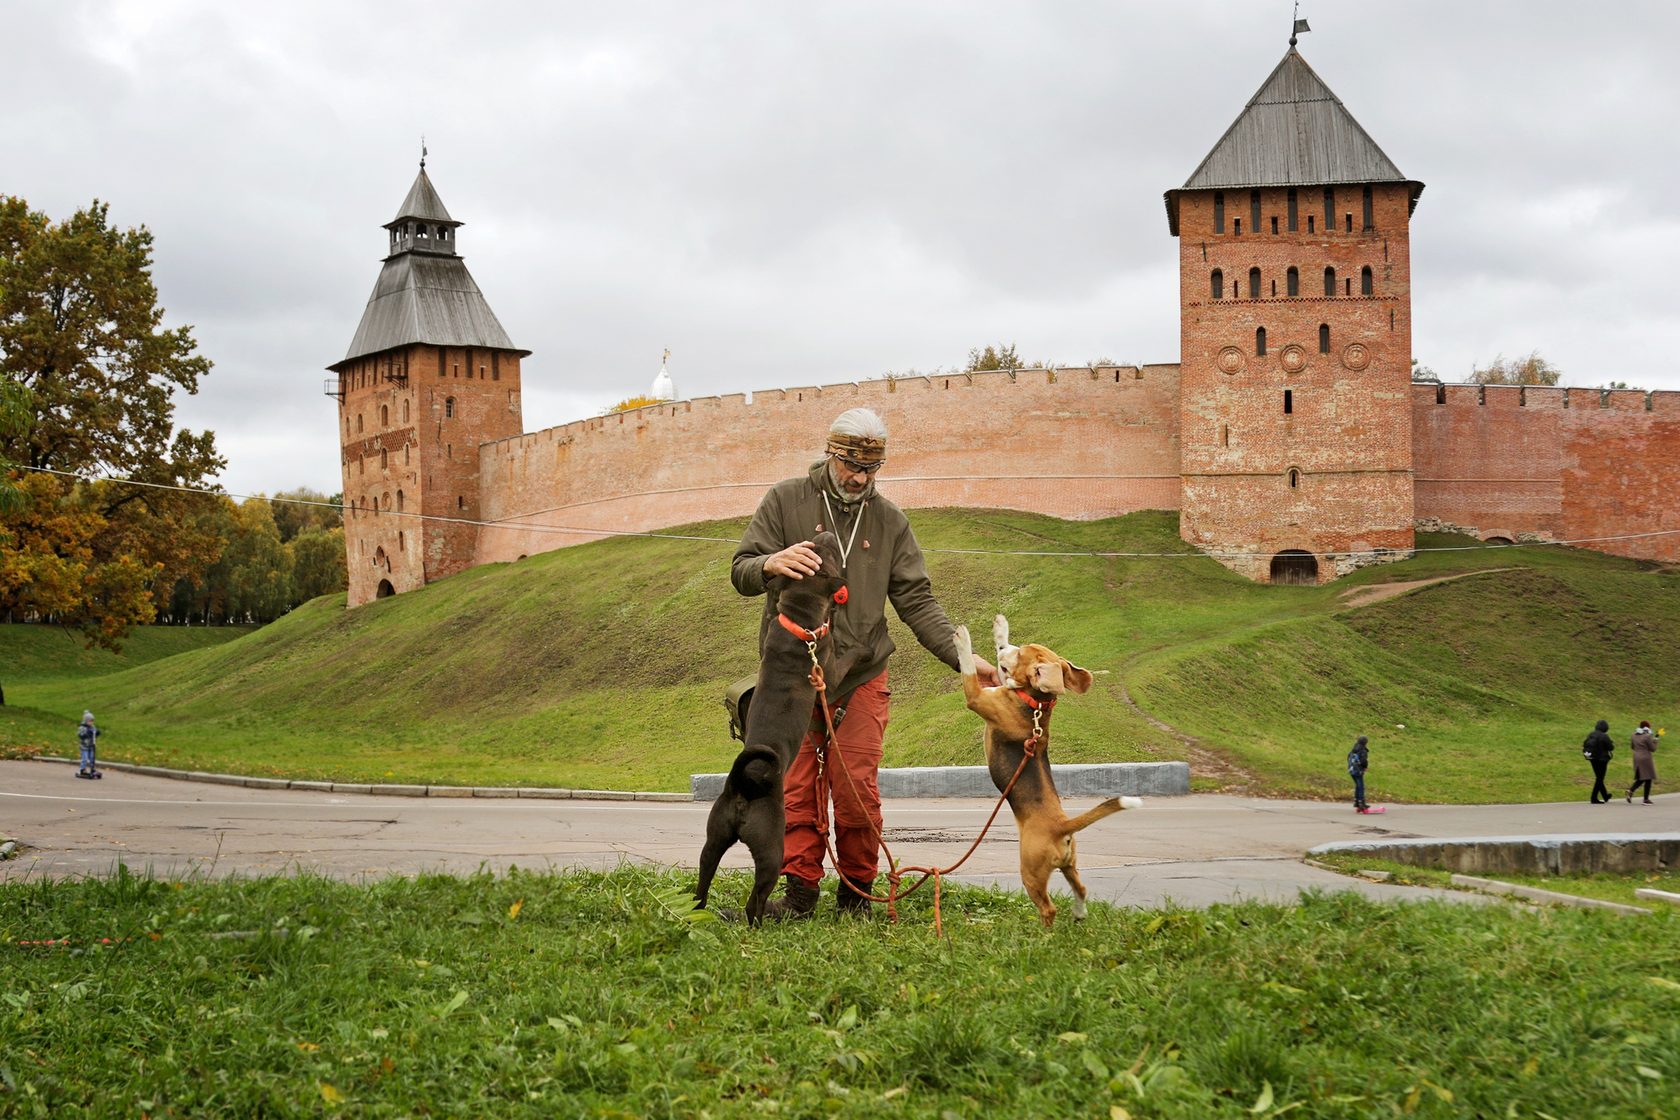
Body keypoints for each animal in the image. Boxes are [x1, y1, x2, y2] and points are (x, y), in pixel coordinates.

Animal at [960, 617, 1142, 926]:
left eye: (1021, 654)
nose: (1006, 650)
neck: (1036, 704)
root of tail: (1062, 827)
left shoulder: (977, 697)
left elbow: (969, 670)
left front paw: (962, 639)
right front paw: (1000, 629)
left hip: (1031, 871)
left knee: (1048, 908)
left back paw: (1041, 932)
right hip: (1070, 864)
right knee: (1082, 888)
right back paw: (1079, 913)